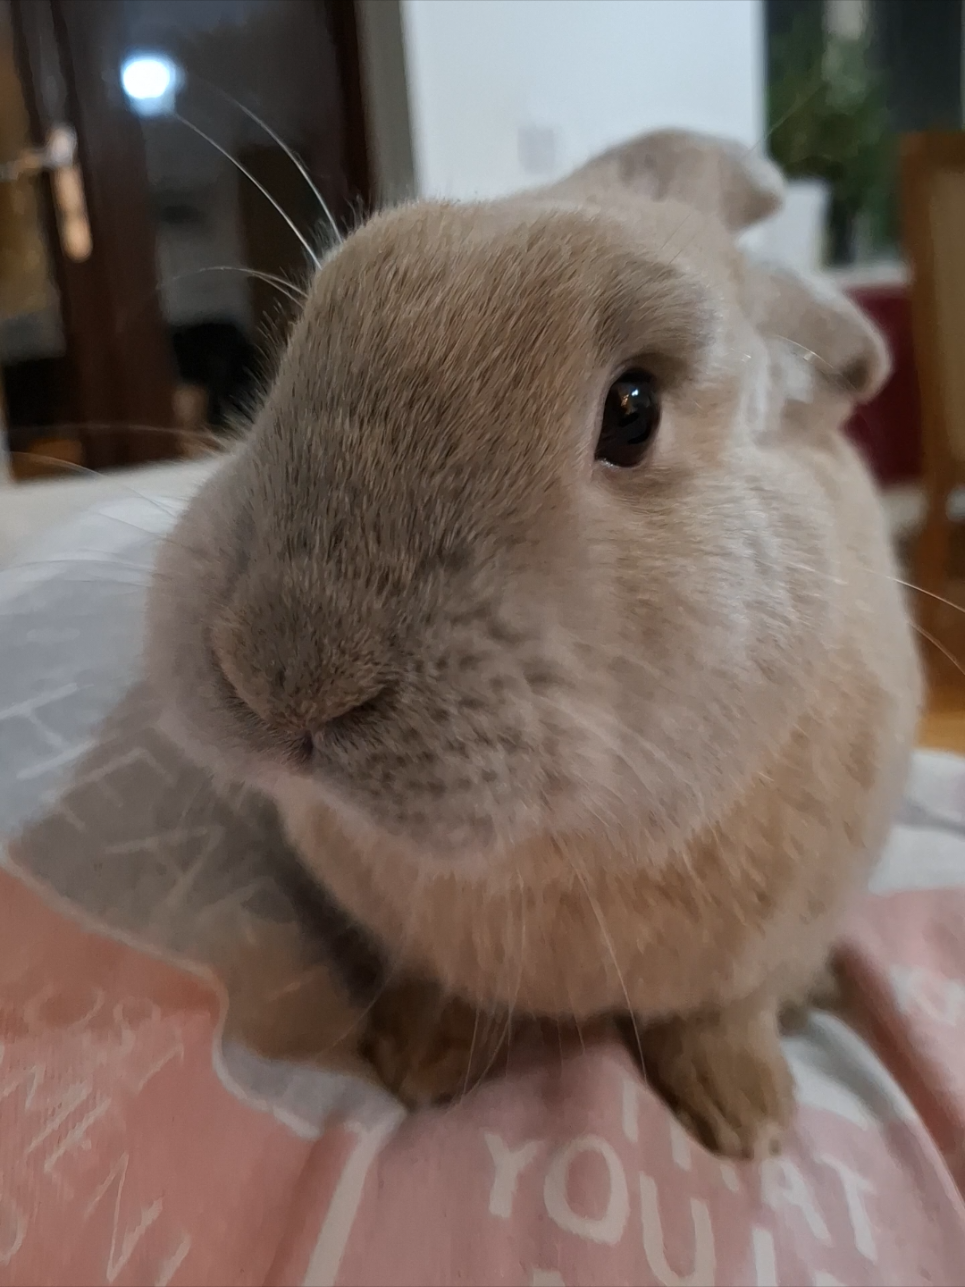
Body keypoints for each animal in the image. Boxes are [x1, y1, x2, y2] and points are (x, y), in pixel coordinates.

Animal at [144, 129, 921, 1158]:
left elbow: (724, 1014)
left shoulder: (767, 944)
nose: (285, 674)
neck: (560, 858)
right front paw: (416, 1062)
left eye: (633, 409)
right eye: (307, 329)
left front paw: (747, 1120)